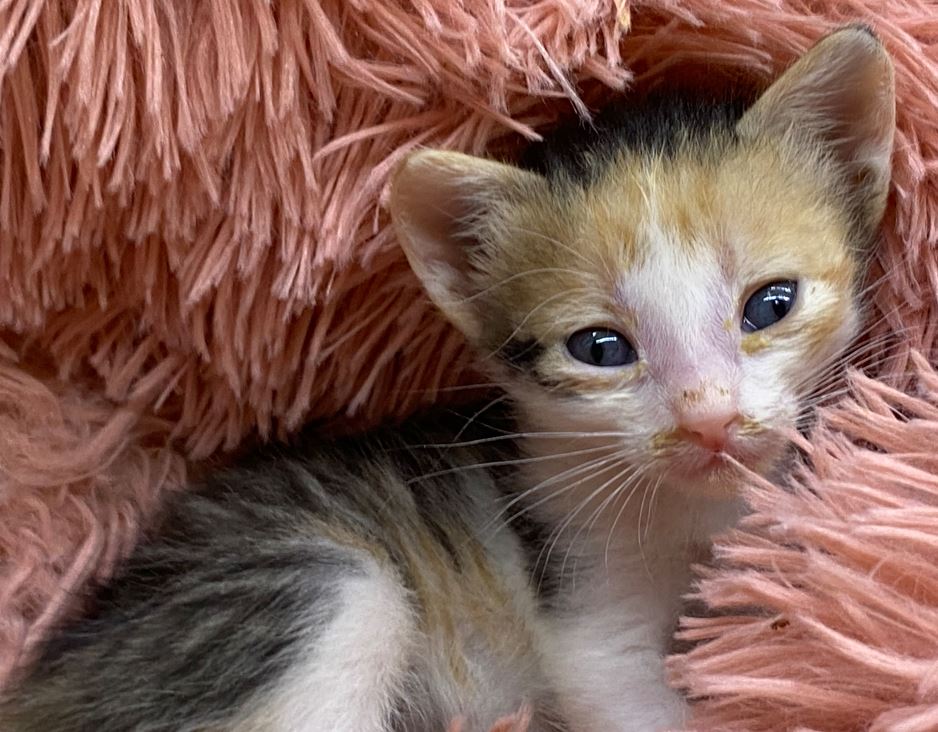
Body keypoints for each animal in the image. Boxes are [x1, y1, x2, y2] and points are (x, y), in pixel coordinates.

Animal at [0, 25, 892, 732]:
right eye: (601, 348)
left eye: (770, 304)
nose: (707, 421)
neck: (691, 508)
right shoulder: (582, 598)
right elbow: (613, 683)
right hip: (294, 589)